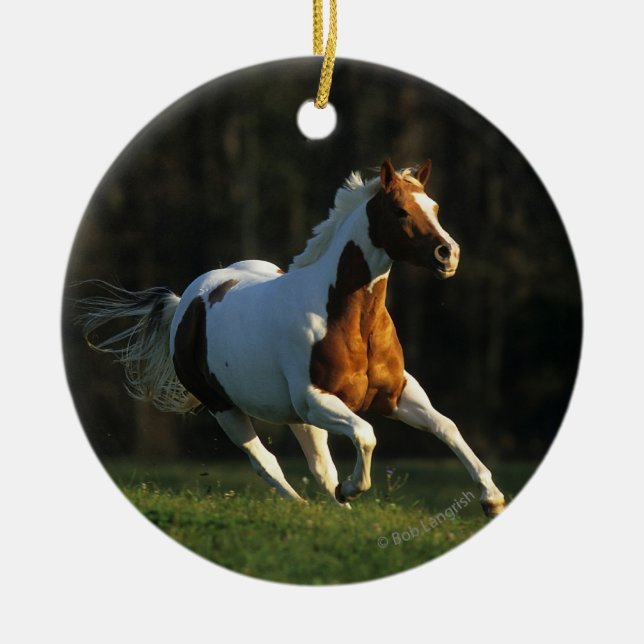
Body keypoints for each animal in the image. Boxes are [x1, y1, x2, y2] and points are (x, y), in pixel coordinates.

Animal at [78, 159, 506, 517]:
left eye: (434, 207)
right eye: (400, 210)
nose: (448, 254)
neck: (349, 320)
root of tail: (187, 301)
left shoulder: (396, 393)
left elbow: (446, 426)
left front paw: (492, 498)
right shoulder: (316, 399)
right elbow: (366, 435)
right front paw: (352, 489)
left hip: (296, 418)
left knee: (319, 465)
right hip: (227, 408)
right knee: (267, 464)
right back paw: (307, 506)